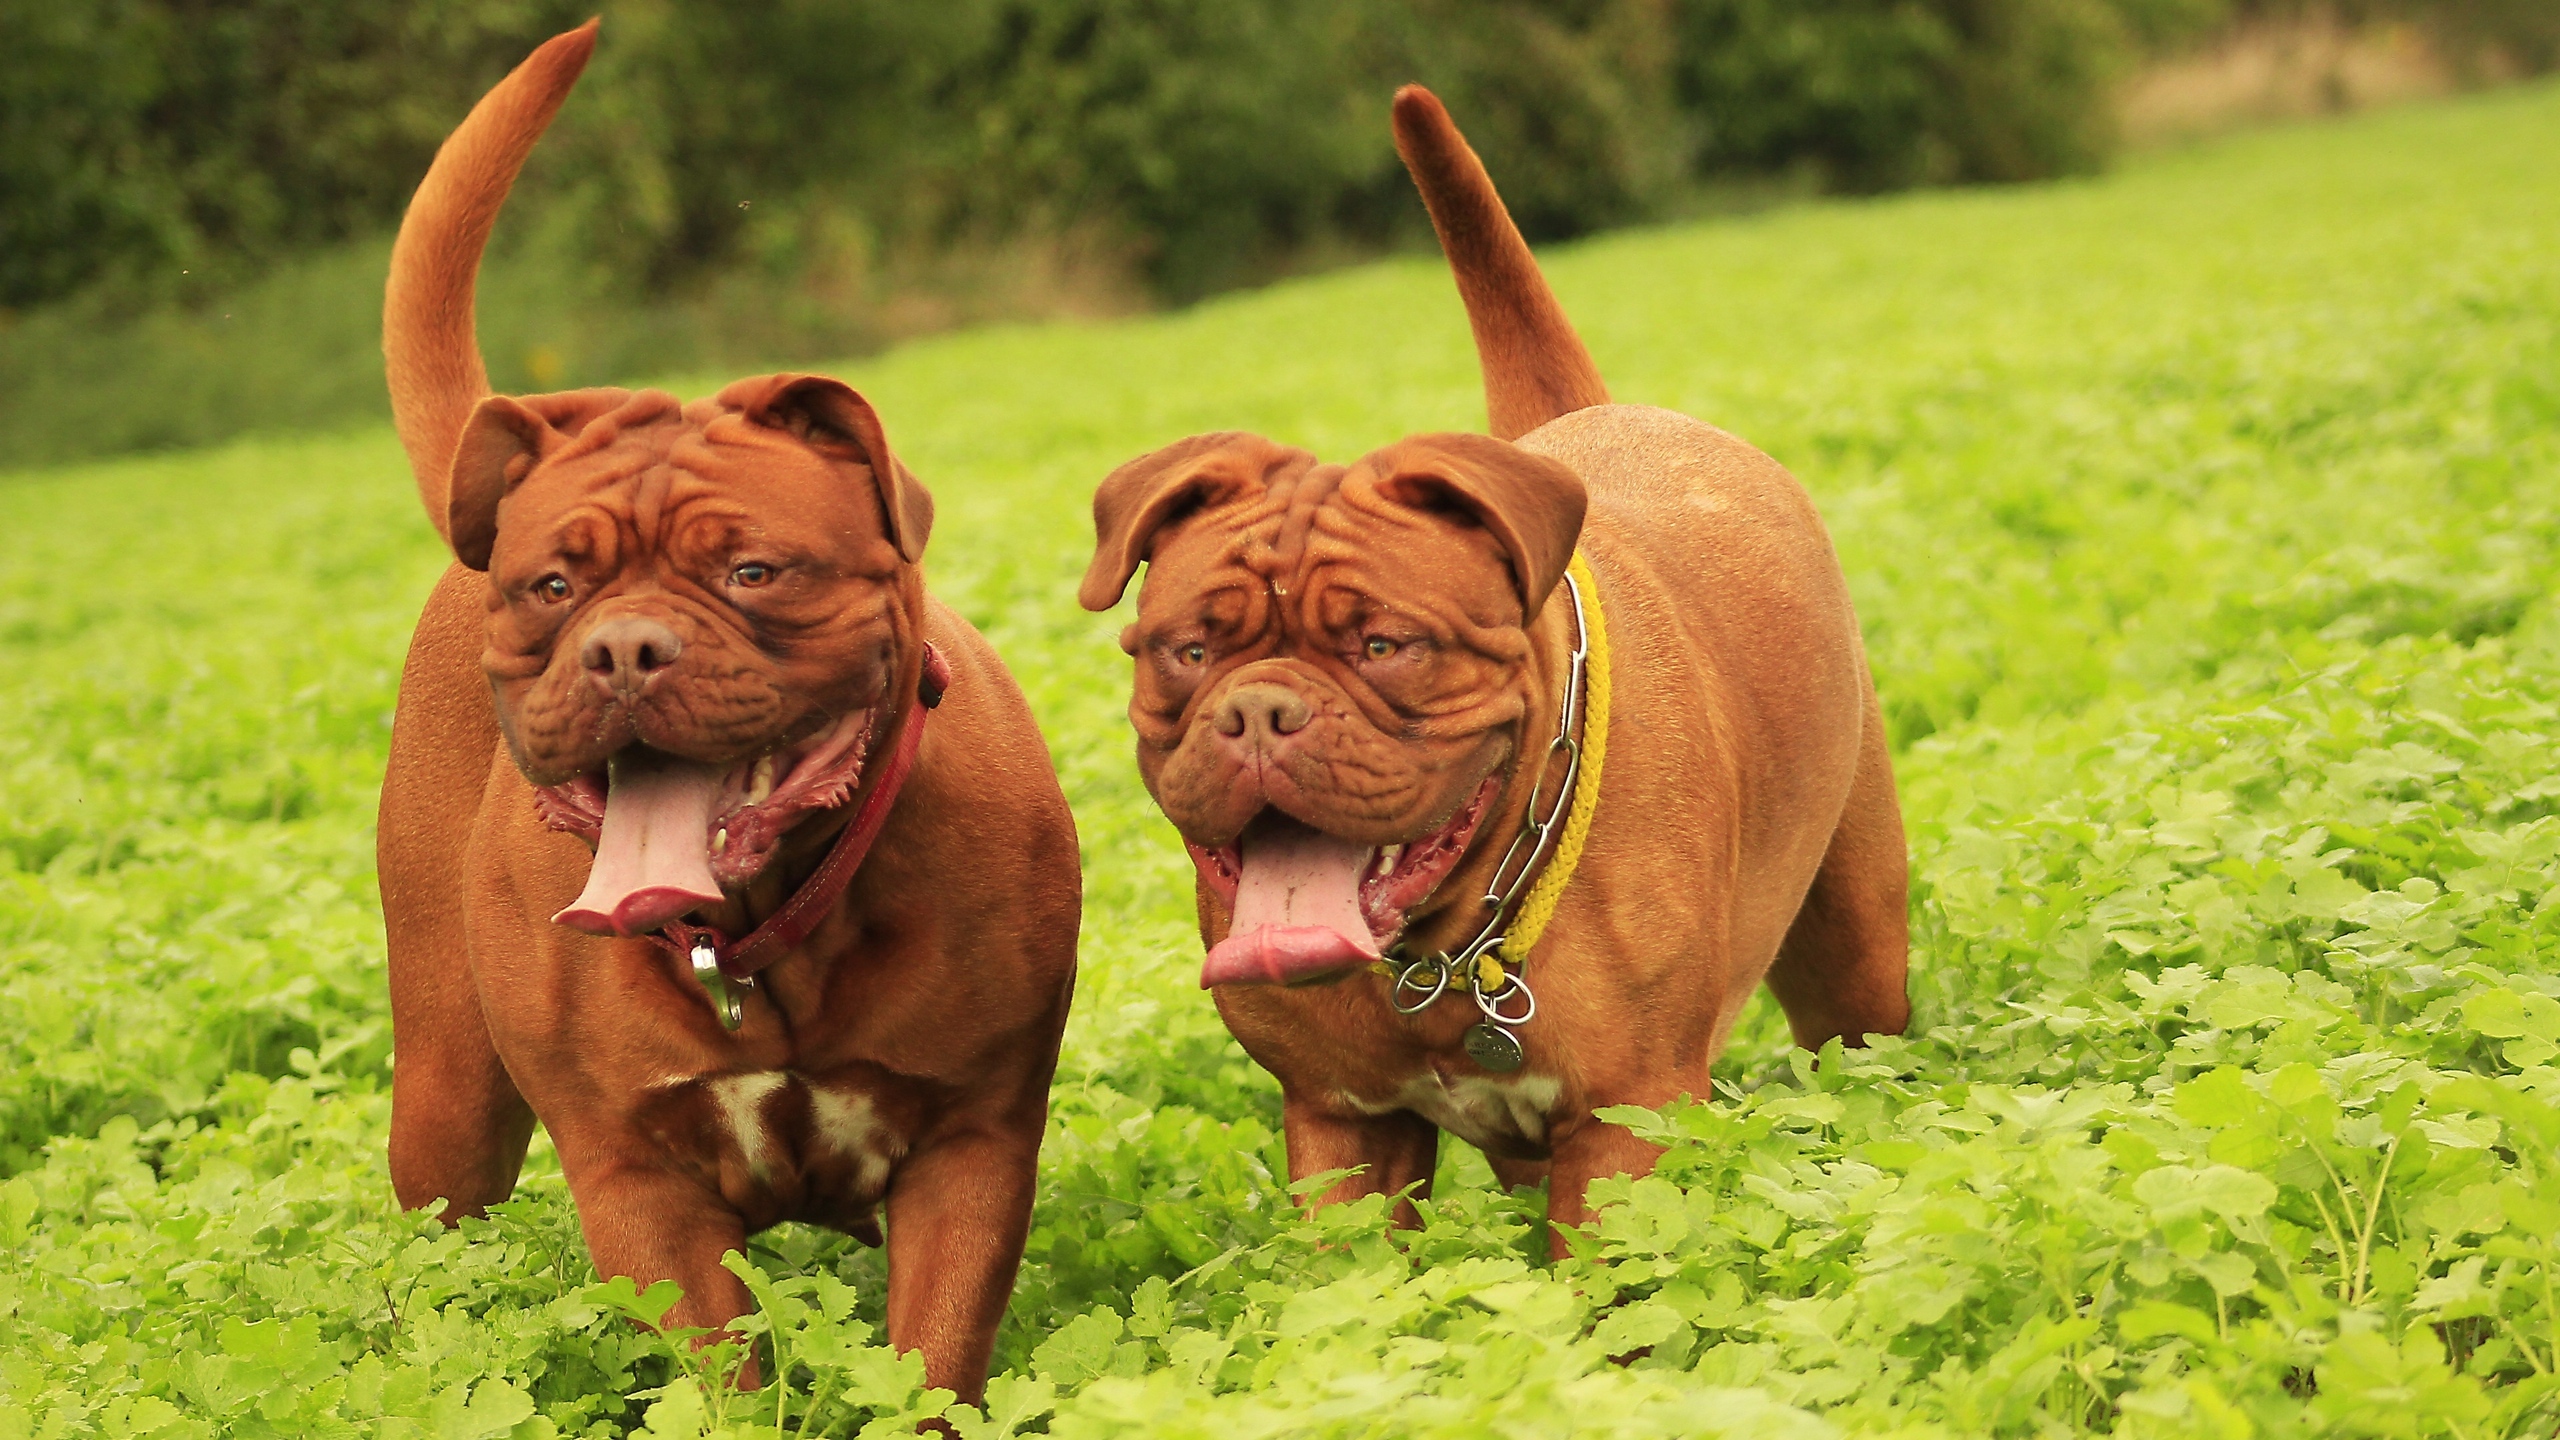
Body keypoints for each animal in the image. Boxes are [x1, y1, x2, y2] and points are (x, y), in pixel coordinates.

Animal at [373, 25, 1075, 1393]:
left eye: (752, 570)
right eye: (554, 587)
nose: (623, 648)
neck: (764, 929)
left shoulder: (970, 1149)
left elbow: (928, 1363)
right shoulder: (640, 1186)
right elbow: (721, 1382)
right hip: (446, 1097)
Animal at [1075, 87, 1904, 1245]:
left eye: (1384, 646)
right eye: (1191, 652)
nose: (1260, 713)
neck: (1445, 952)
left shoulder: (1624, 1124)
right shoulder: (1344, 1127)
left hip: (1854, 955)